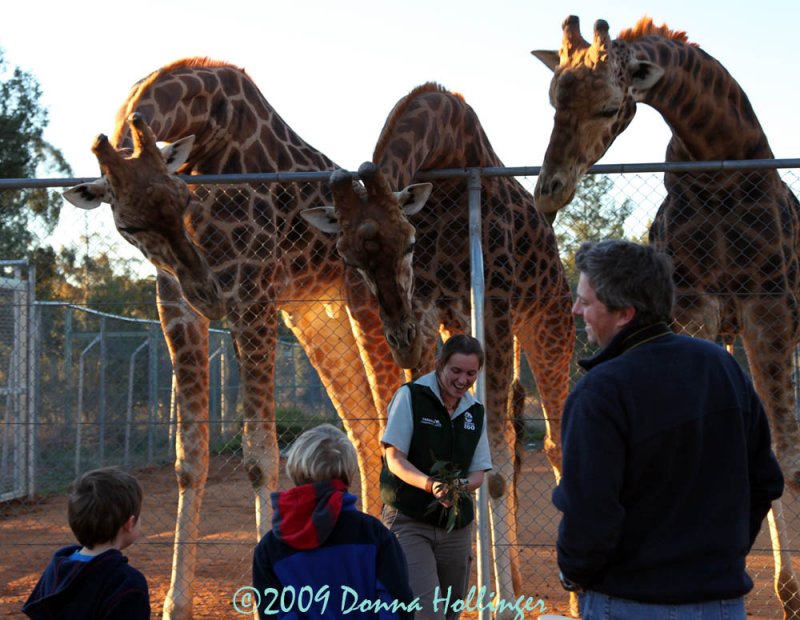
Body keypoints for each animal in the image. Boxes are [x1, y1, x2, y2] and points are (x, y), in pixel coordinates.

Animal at [62, 58, 404, 620]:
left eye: (181, 200)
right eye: (129, 225)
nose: (207, 290)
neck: (204, 139)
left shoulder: (252, 294)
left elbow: (260, 456)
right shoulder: (176, 305)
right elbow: (189, 460)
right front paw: (174, 603)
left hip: (369, 303)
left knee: (394, 405)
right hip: (316, 315)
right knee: (359, 424)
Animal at [300, 82, 576, 612]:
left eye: (408, 242)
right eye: (347, 256)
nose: (400, 341)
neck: (446, 156)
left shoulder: (494, 301)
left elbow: (494, 469)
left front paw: (497, 605)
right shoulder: (434, 309)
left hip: (548, 324)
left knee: (553, 443)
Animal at [532, 17, 800, 616]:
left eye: (610, 107)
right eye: (552, 99)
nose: (548, 191)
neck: (719, 165)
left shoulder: (768, 305)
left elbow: (787, 451)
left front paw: (793, 596)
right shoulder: (695, 302)